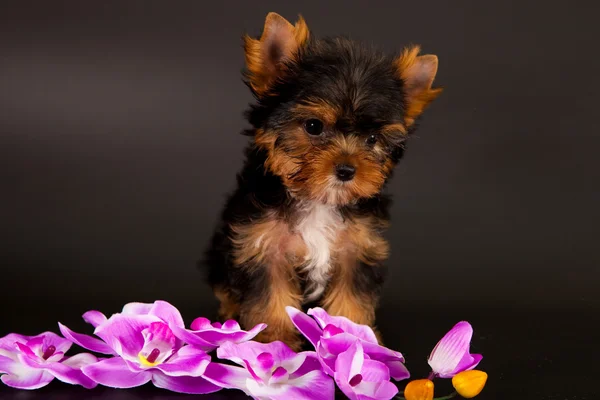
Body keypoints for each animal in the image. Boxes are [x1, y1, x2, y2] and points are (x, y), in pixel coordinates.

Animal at [204, 12, 442, 350]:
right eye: (314, 126)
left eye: (372, 139)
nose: (346, 170)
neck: (318, 199)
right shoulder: (261, 245)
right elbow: (270, 296)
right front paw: (274, 340)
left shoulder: (358, 248)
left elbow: (352, 296)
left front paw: (356, 335)